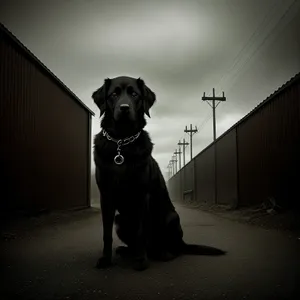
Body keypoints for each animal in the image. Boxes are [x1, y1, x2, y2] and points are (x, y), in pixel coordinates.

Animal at [92, 76, 226, 270]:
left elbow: (141, 231)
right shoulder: (106, 196)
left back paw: (161, 253)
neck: (122, 143)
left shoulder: (141, 195)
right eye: (114, 94)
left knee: (173, 248)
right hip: (120, 220)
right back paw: (128, 251)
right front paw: (105, 259)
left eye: (134, 94)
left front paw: (141, 261)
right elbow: (106, 233)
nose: (124, 108)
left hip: (171, 218)